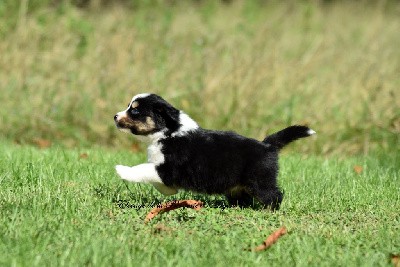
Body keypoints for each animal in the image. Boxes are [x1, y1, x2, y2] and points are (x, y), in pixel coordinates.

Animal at [113, 93, 316, 210]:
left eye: (135, 111)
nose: (115, 116)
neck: (168, 132)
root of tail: (267, 145)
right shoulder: (163, 170)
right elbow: (155, 179)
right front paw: (169, 191)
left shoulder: (168, 168)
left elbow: (142, 168)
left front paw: (121, 170)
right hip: (238, 187)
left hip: (259, 181)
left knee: (274, 195)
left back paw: (269, 211)